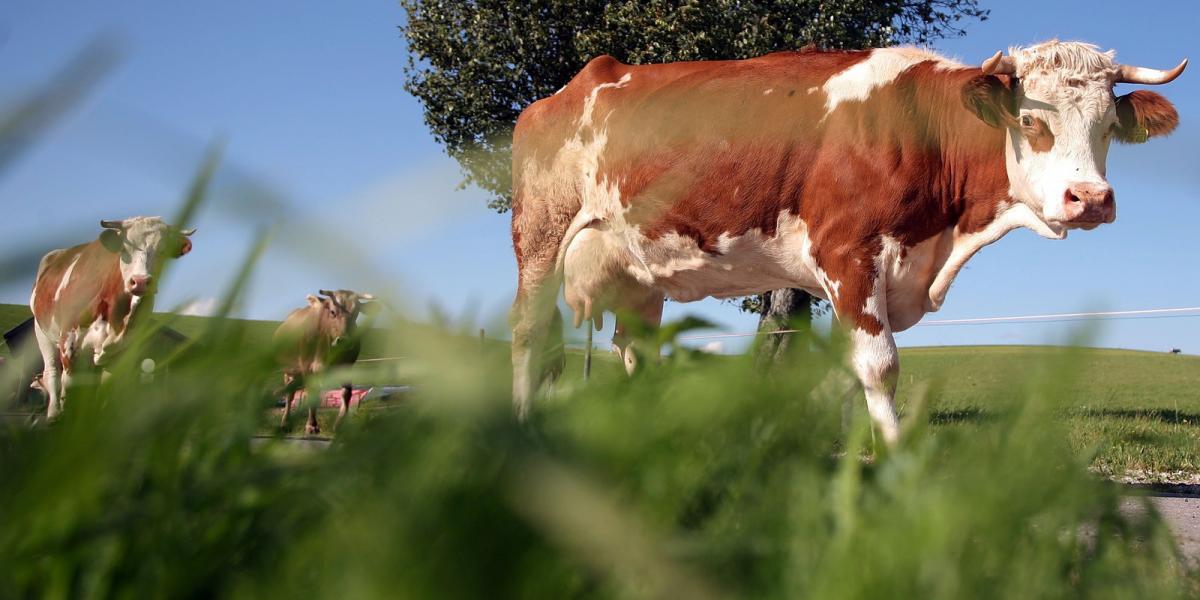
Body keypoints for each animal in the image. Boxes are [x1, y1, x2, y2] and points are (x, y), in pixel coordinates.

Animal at [30, 218, 195, 420]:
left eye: (163, 251)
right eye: (124, 249)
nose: (140, 282)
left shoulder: (121, 354)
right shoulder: (70, 348)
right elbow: (69, 393)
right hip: (42, 332)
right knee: (52, 372)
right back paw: (53, 414)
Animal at [274, 288, 374, 434]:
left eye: (356, 312)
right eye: (332, 312)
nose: (344, 340)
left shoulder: (347, 366)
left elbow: (346, 393)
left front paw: (339, 424)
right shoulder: (307, 367)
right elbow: (311, 393)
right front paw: (311, 425)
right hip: (289, 371)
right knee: (289, 395)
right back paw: (285, 423)